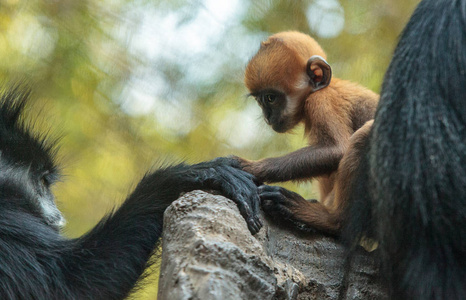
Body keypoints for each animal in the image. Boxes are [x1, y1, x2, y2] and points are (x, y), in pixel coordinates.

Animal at [237, 31, 378, 236]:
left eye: (270, 98)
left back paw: (331, 220)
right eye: (259, 101)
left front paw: (247, 167)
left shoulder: (321, 100)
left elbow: (337, 149)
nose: (267, 116)